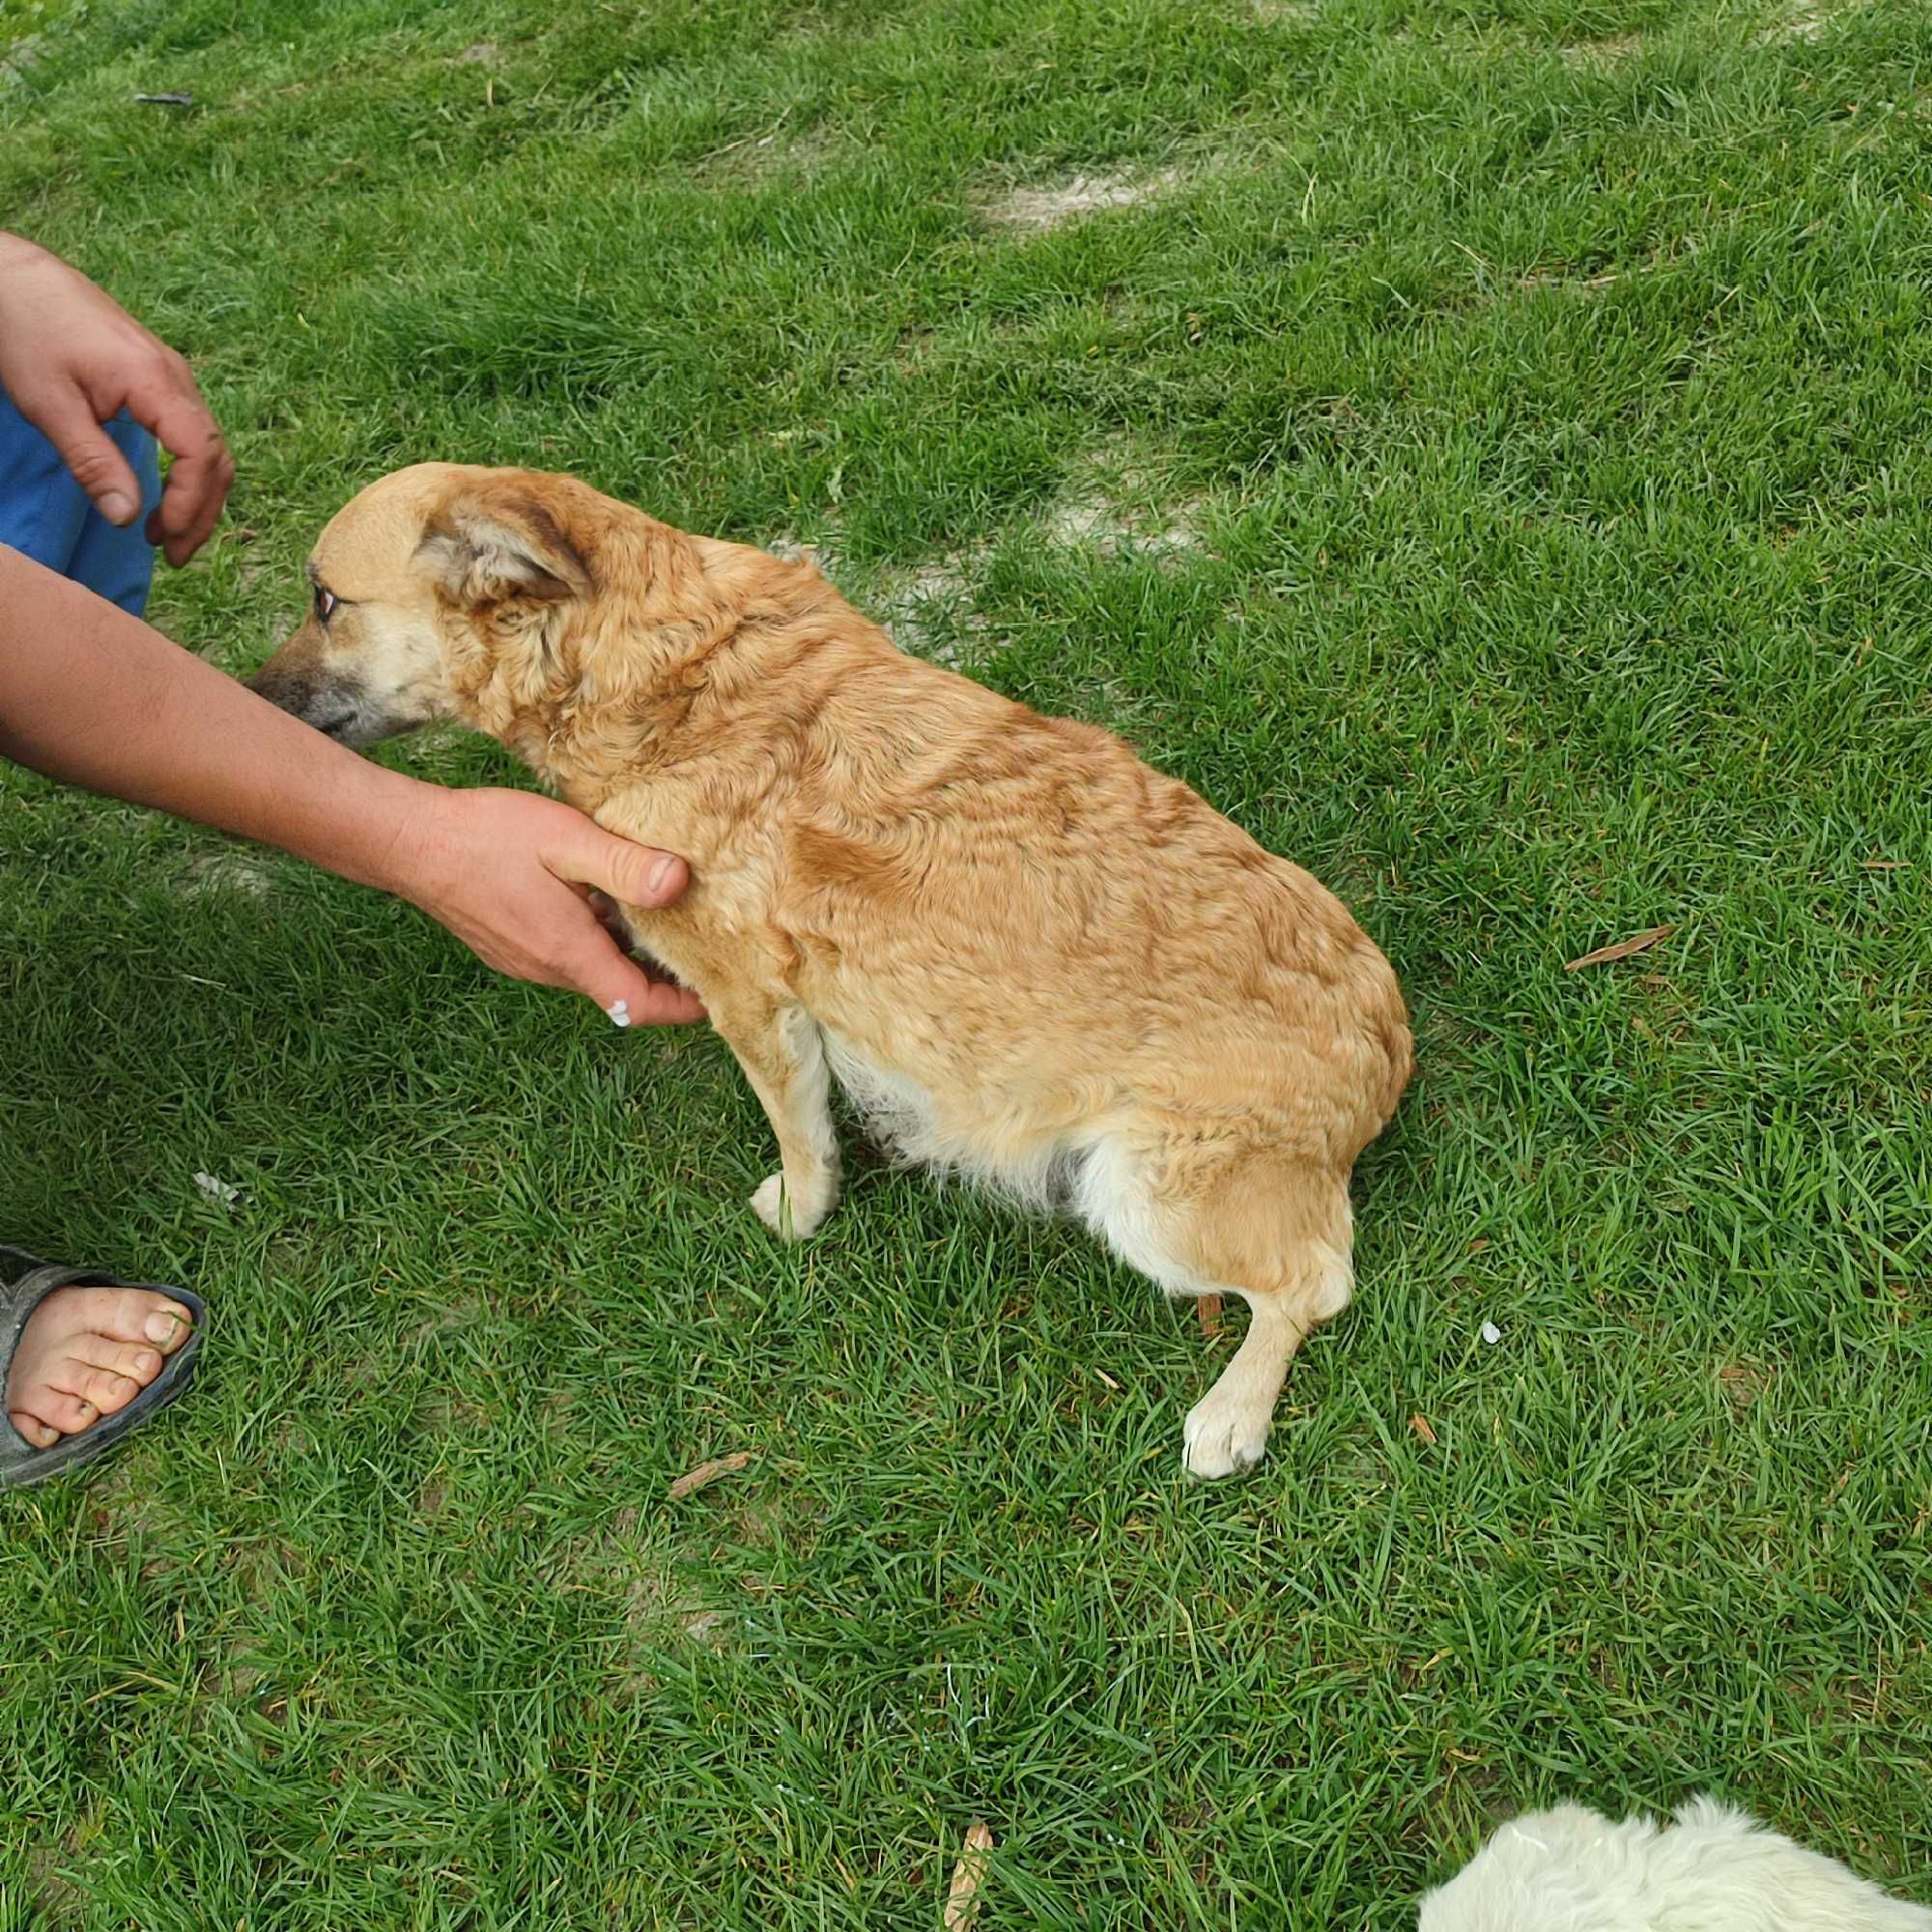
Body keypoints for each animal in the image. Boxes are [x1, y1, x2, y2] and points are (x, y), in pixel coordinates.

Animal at [249, 468, 1414, 1476]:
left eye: (325, 600)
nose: (254, 697)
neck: (657, 668)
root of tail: (1387, 1044)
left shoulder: (752, 1002)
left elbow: (799, 1135)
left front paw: (799, 1213)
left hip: (1138, 1189)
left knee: (1317, 1282)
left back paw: (1231, 1411)